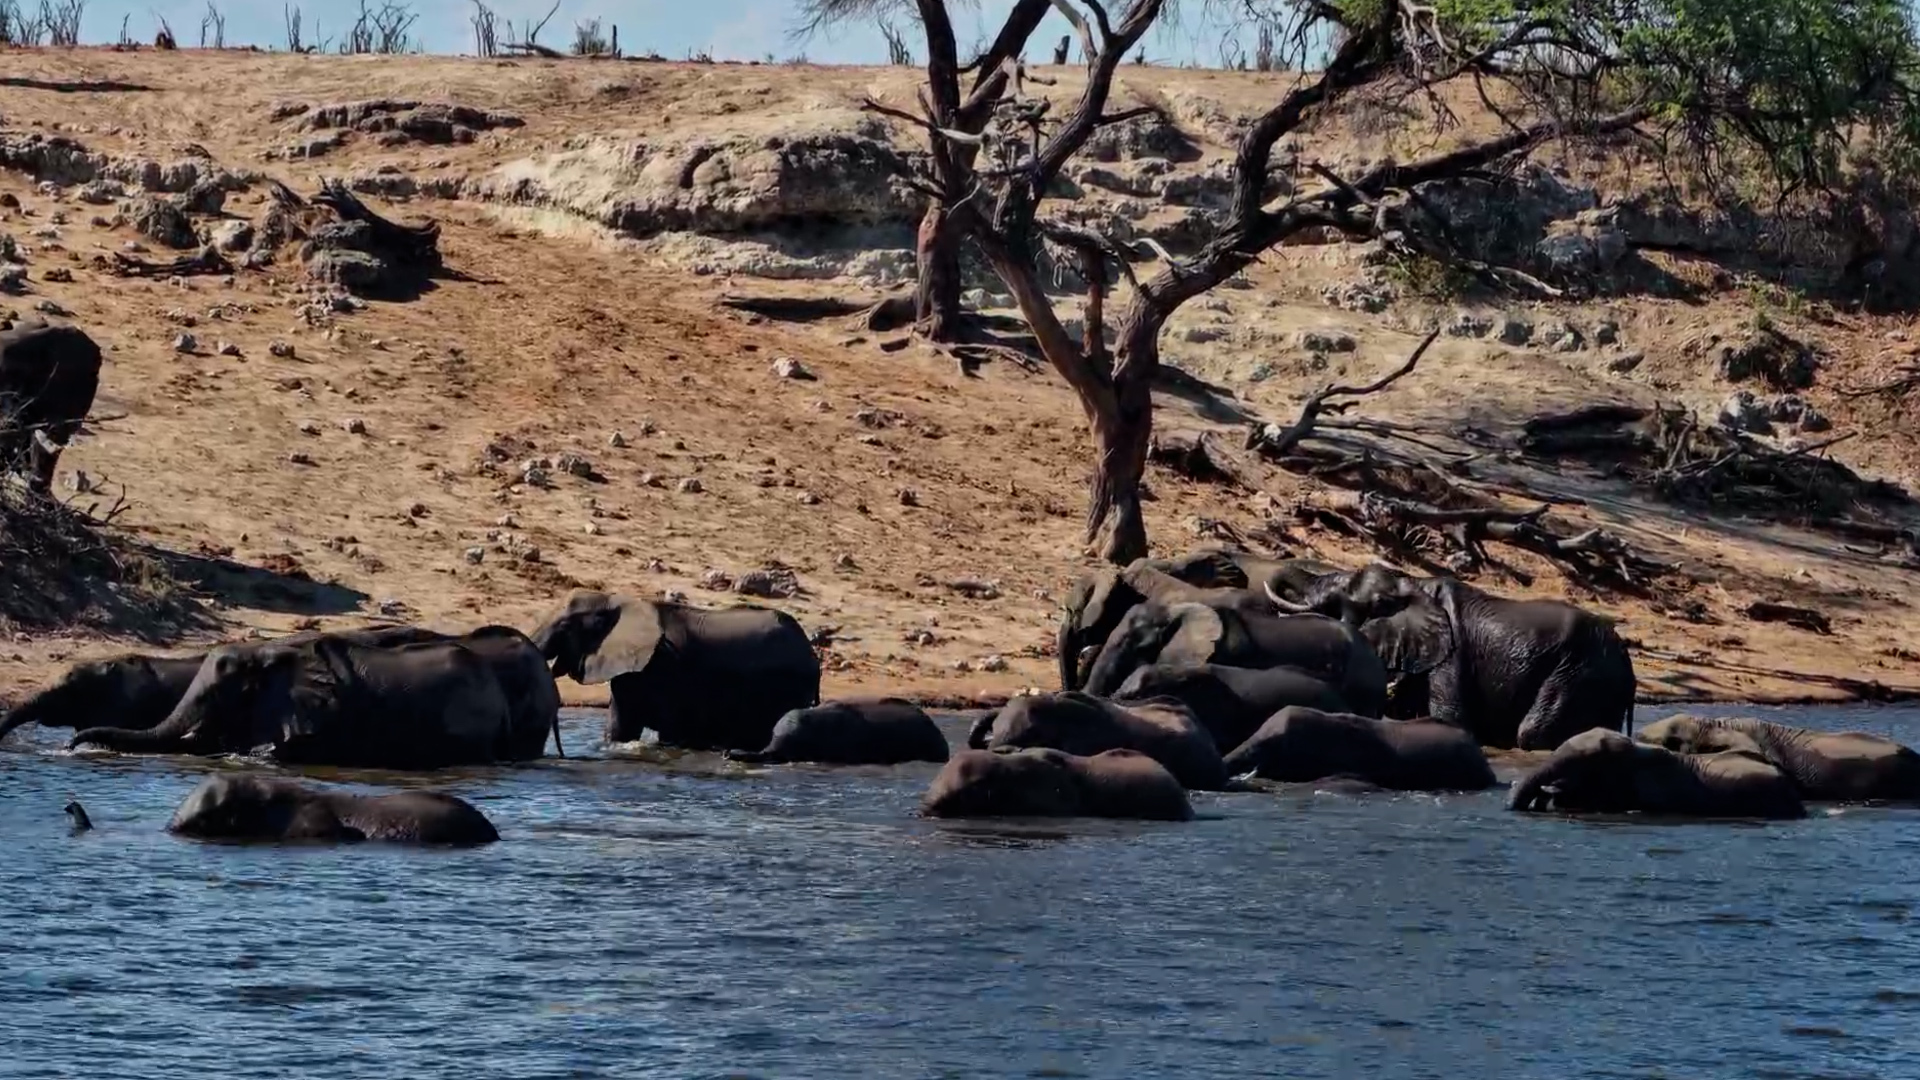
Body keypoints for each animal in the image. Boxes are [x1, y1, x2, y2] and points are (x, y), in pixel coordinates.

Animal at [1269, 564, 1635, 750]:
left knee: (1532, 733)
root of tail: (1624, 653)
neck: (1412, 583)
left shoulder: (1450, 659)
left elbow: (1451, 720)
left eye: (1341, 600)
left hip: (1578, 674)